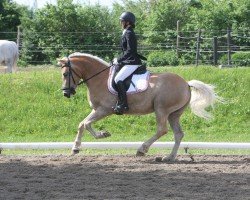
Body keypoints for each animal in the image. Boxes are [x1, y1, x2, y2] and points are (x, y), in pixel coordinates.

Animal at [57, 52, 222, 162]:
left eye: (65, 74)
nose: (66, 93)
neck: (99, 78)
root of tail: (186, 83)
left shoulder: (104, 109)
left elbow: (86, 123)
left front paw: (103, 134)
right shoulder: (96, 109)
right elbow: (82, 124)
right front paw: (75, 148)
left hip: (161, 109)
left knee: (162, 130)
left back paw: (142, 149)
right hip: (173, 114)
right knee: (178, 134)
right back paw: (169, 157)